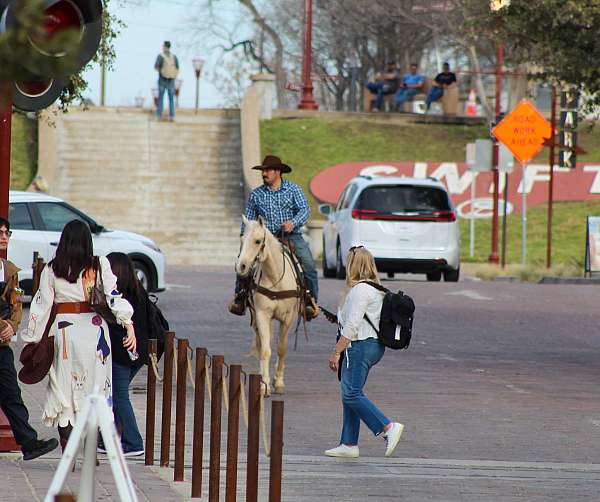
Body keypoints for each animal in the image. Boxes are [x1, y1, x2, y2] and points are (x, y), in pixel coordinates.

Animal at [236, 216, 302, 396]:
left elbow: (281, 348)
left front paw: (278, 382)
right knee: (261, 344)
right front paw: (264, 385)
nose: (241, 266)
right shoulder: (262, 315)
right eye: (242, 239)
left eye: (258, 241)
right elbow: (265, 350)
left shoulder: (288, 318)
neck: (275, 278)